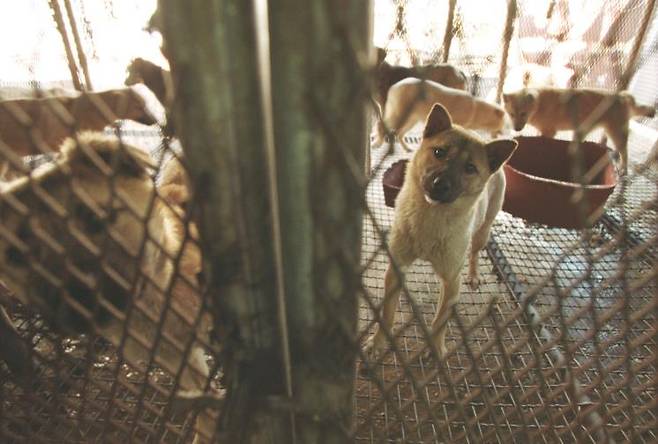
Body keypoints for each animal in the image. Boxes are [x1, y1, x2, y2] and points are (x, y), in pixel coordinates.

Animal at [365, 104, 517, 359]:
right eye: (439, 152)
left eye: (470, 168)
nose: (440, 184)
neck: (431, 218)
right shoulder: (395, 269)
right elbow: (387, 313)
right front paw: (377, 343)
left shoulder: (451, 280)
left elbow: (440, 321)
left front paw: (435, 347)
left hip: (483, 230)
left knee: (475, 252)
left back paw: (474, 275)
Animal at [375, 78, 507, 151]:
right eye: (503, 125)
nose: (501, 134)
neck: (477, 109)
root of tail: (393, 87)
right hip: (400, 113)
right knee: (381, 124)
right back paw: (377, 142)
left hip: (412, 119)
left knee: (399, 133)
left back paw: (407, 148)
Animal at [502, 87, 656, 174]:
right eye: (511, 114)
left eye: (523, 113)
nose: (516, 128)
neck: (539, 104)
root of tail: (622, 96)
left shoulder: (549, 131)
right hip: (587, 130)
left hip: (616, 134)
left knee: (624, 152)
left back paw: (623, 169)